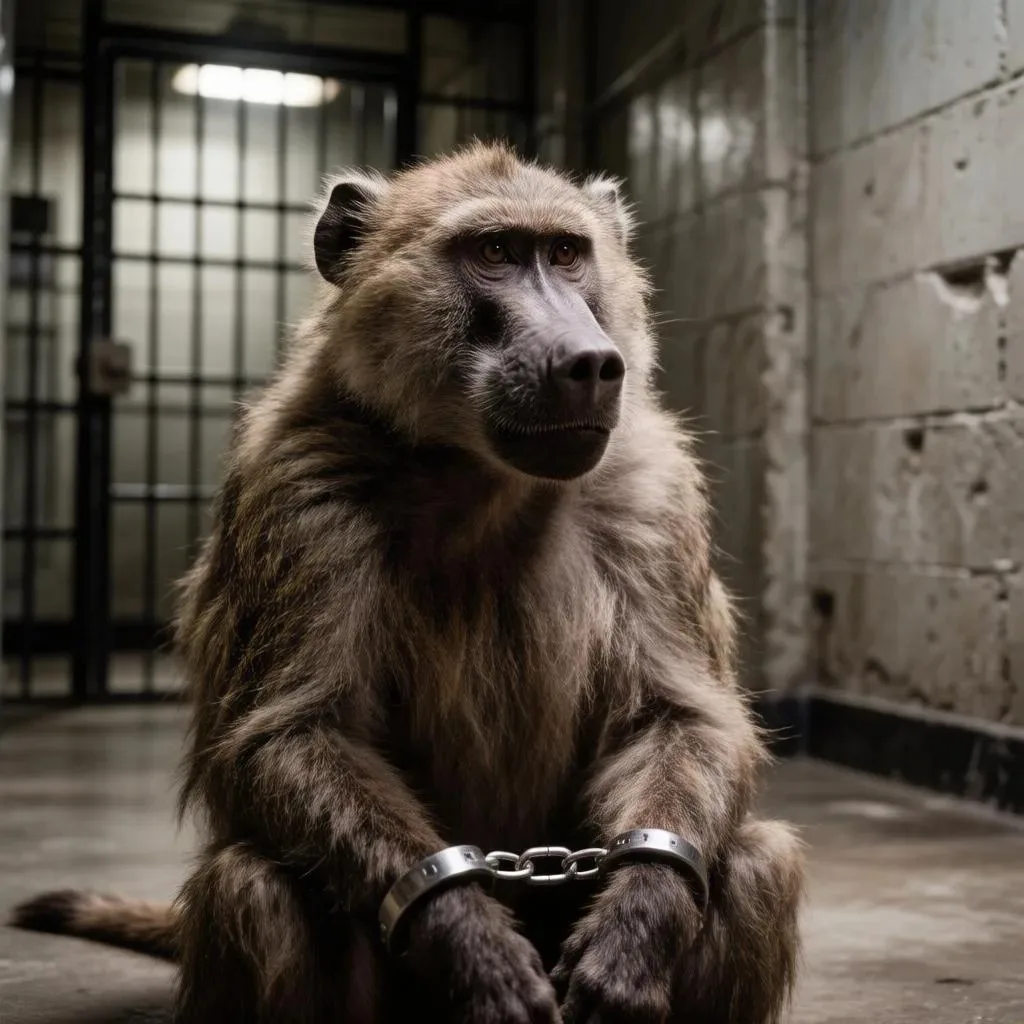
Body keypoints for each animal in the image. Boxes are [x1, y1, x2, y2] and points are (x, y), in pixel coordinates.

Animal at [11, 141, 805, 1024]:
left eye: (566, 253)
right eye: (495, 252)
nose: (591, 362)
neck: (480, 480)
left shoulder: (649, 490)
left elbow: (681, 719)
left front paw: (635, 928)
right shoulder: (299, 483)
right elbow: (293, 733)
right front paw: (474, 947)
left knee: (757, 862)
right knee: (253, 887)